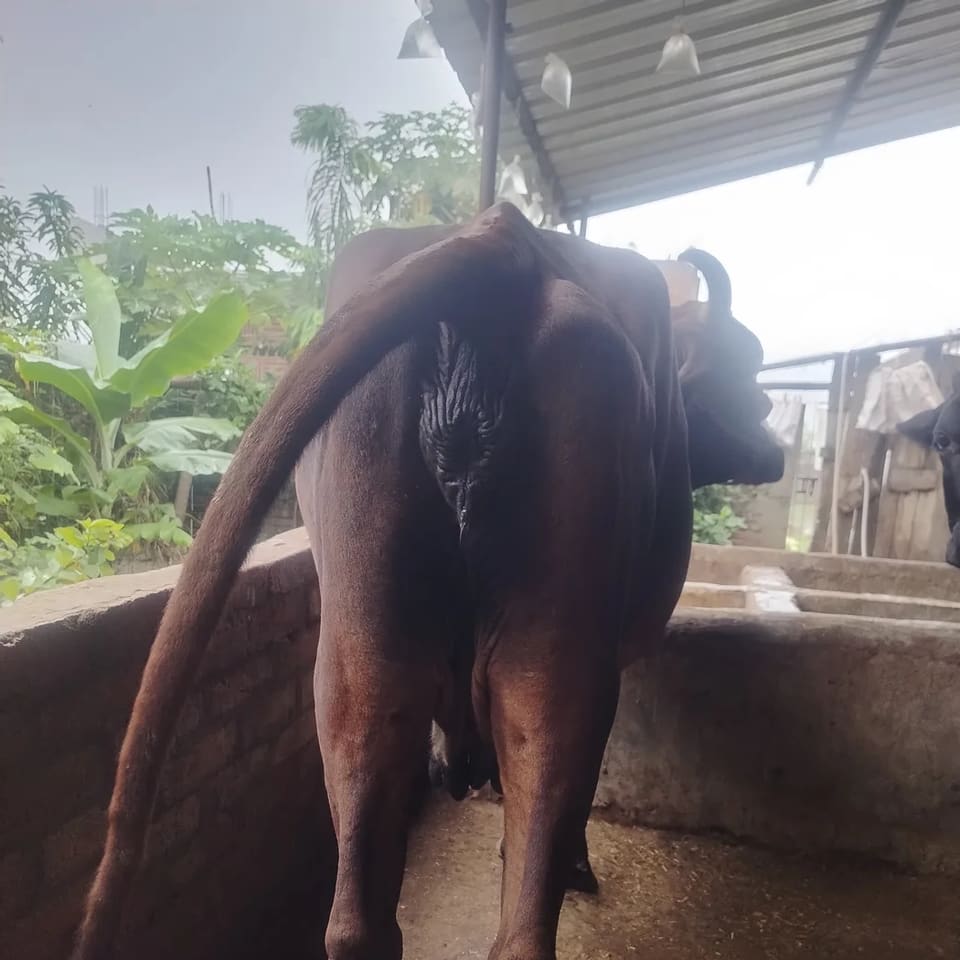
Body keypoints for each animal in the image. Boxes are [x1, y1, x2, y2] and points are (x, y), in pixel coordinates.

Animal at [73, 202, 782, 960]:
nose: (773, 444)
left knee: (363, 918)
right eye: (744, 367)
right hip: (559, 658)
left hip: (365, 657)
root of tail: (505, 238)